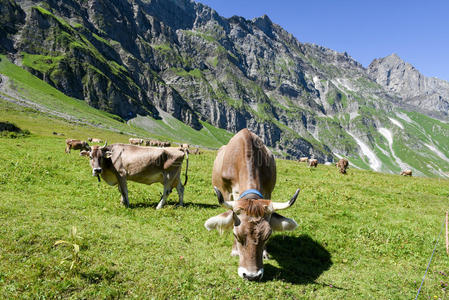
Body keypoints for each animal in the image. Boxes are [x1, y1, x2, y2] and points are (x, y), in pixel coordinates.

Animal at [205, 129, 300, 282]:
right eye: (236, 235)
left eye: (268, 235)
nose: (251, 275)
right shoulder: (227, 192)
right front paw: (234, 250)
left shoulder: (268, 192)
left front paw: (265, 253)